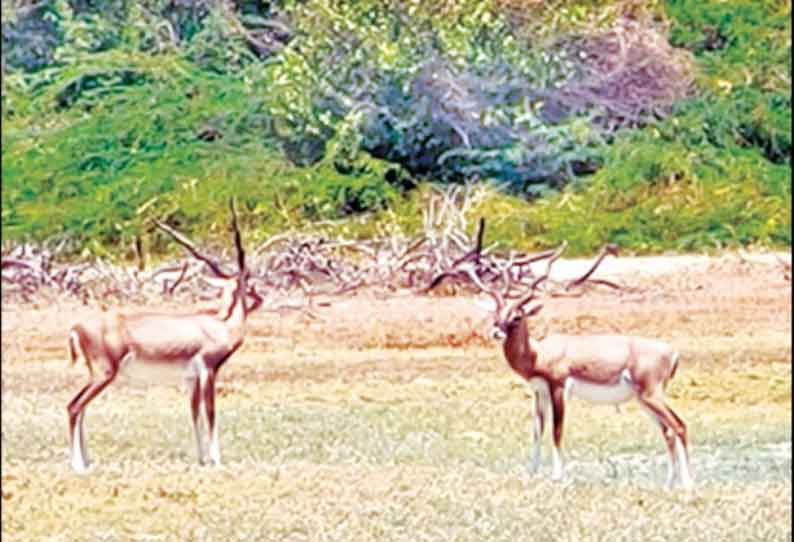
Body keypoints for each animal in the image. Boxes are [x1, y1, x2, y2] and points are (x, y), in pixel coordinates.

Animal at [65, 201, 262, 476]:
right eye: (249, 285)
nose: (260, 299)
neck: (219, 326)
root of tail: (77, 327)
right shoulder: (208, 370)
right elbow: (210, 412)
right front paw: (216, 460)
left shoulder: (191, 377)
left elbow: (194, 412)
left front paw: (201, 459)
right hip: (104, 374)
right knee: (74, 407)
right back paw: (78, 465)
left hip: (96, 375)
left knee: (80, 408)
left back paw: (87, 461)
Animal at [426, 225, 692, 492]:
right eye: (497, 314)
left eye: (517, 317)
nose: (496, 332)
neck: (538, 353)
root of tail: (672, 352)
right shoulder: (539, 392)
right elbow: (537, 431)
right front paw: (531, 472)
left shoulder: (558, 388)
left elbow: (556, 430)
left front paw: (557, 476)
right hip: (643, 399)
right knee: (668, 431)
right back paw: (669, 483)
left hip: (651, 395)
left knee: (679, 425)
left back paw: (688, 483)